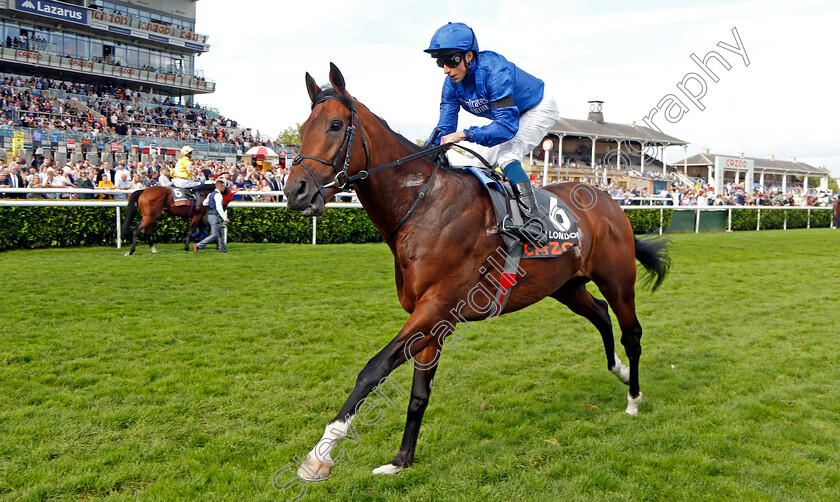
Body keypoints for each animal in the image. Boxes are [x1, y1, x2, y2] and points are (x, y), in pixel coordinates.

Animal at [282, 63, 668, 482]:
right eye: (304, 128)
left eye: (336, 125)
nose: (295, 191)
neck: (424, 207)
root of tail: (611, 200)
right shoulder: (432, 318)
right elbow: (419, 393)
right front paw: (402, 460)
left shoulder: (436, 307)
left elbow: (373, 369)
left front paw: (319, 455)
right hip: (565, 285)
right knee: (599, 313)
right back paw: (620, 372)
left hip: (618, 279)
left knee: (631, 332)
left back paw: (633, 397)